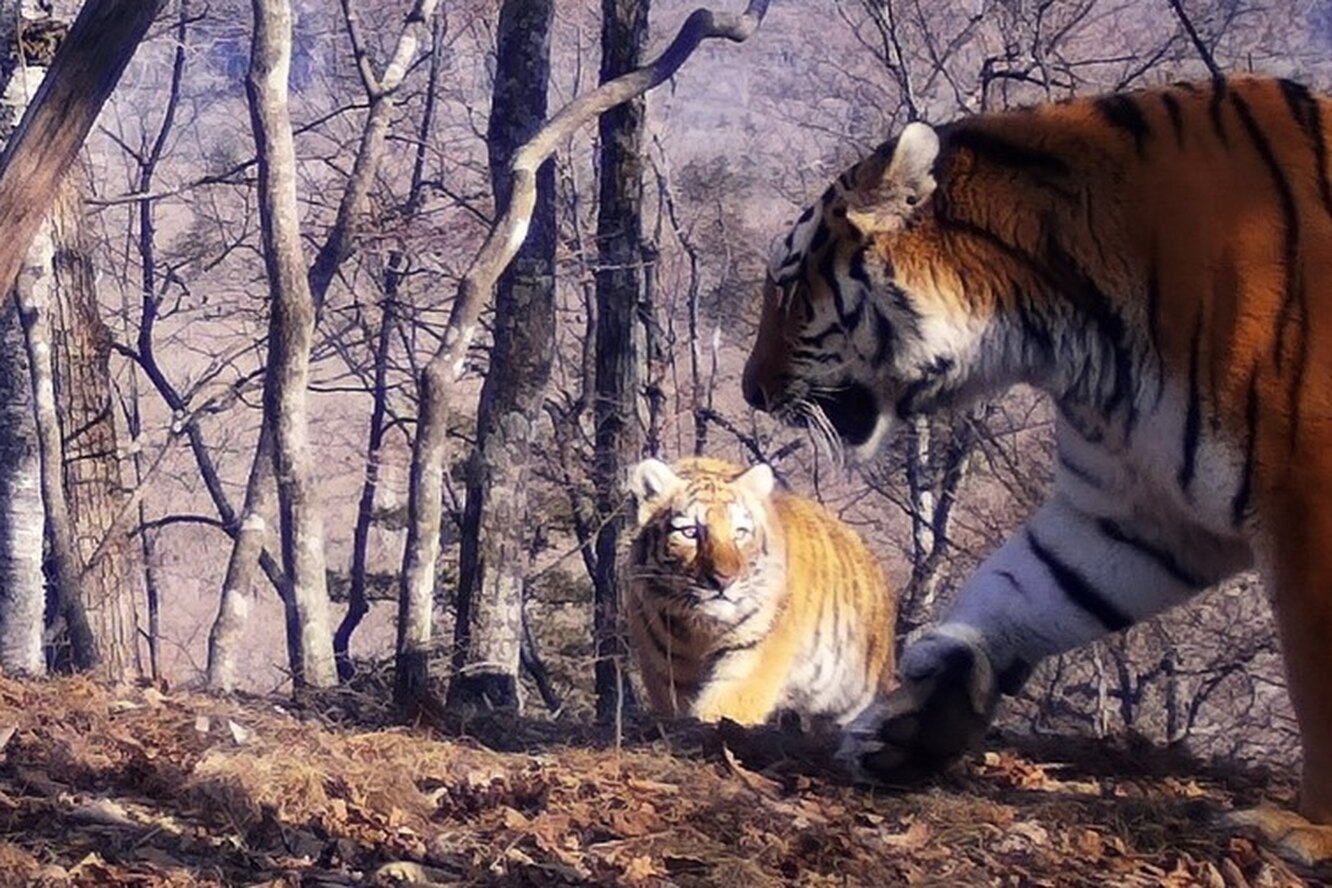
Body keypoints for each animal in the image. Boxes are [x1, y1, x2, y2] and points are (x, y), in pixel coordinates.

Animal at [623, 455, 895, 724]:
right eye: (690, 532)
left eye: (740, 533)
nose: (723, 580)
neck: (698, 631)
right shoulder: (669, 676)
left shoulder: (748, 666)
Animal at [745, 72, 1332, 862]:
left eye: (786, 286)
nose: (750, 390)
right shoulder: (1132, 511)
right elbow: (1026, 586)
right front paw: (919, 720)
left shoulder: (1306, 500)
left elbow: (1316, 677)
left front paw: (1308, 830)